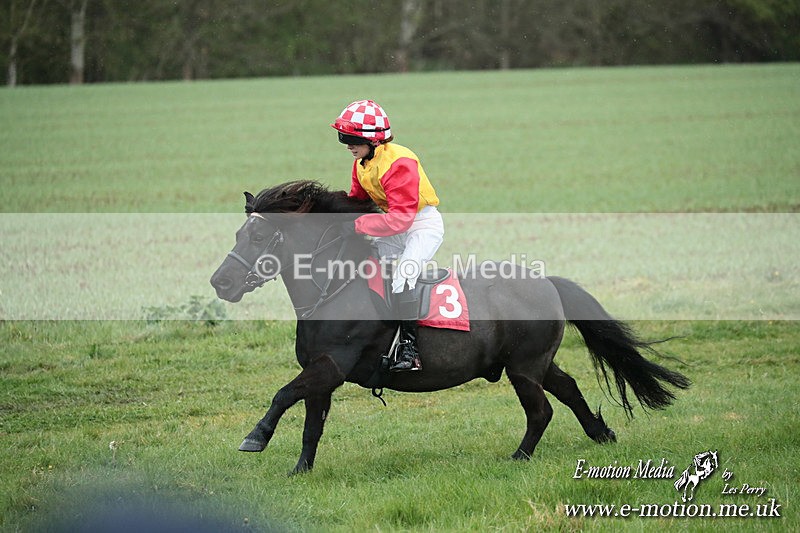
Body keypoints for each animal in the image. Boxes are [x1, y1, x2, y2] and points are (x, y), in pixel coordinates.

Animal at [210, 180, 690, 474]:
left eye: (258, 238)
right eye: (237, 234)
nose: (221, 282)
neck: (334, 288)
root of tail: (547, 283)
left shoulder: (331, 366)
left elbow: (283, 394)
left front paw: (255, 437)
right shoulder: (322, 374)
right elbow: (311, 424)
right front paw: (300, 470)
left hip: (523, 369)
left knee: (541, 410)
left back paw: (518, 457)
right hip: (535, 364)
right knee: (569, 389)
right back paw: (600, 434)